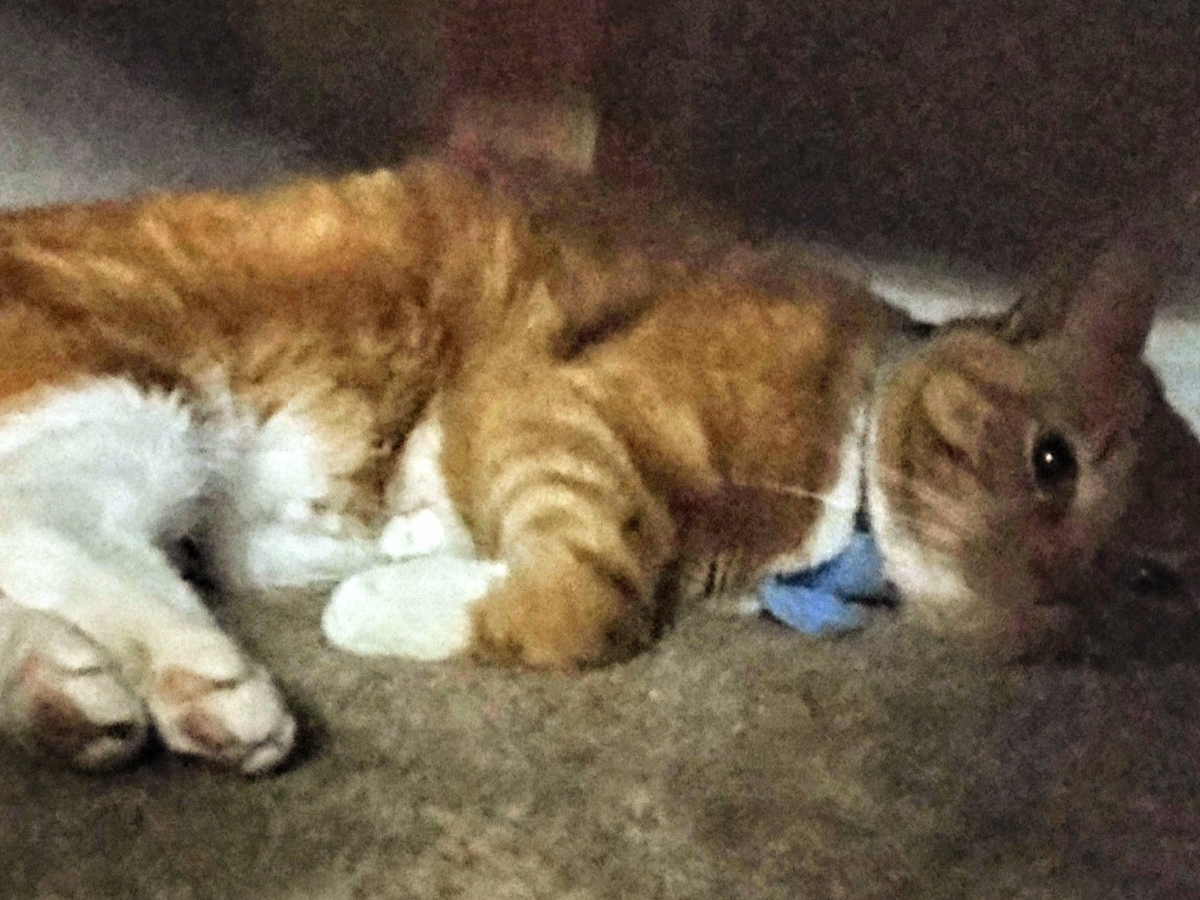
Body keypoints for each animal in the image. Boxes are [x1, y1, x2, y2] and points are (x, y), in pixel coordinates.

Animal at [0, 152, 1183, 777]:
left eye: (1150, 581)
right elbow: (593, 594)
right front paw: (393, 609)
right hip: (133, 398)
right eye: (1051, 462)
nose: (1050, 605)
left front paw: (411, 560)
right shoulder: (558, 407)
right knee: (54, 523)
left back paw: (64, 690)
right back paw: (204, 683)